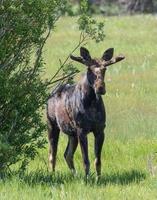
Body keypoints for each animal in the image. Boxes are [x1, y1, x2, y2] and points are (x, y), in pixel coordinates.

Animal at [46, 47, 125, 178]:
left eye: (105, 69)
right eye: (89, 69)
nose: (100, 88)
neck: (91, 104)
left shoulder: (100, 130)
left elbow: (97, 160)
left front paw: (98, 178)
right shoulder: (82, 130)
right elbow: (86, 160)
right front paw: (87, 179)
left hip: (72, 134)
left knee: (67, 154)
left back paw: (75, 175)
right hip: (52, 125)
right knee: (53, 154)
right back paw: (52, 175)